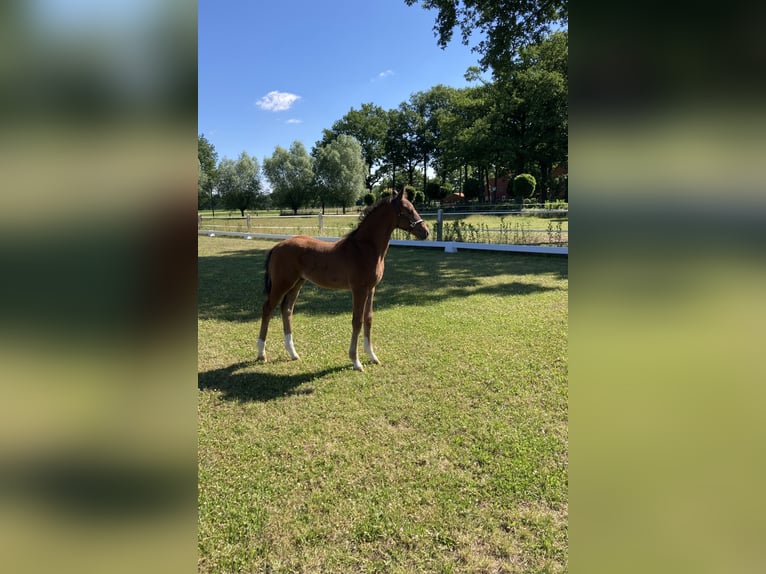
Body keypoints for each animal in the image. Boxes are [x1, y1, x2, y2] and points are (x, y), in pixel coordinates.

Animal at [256, 192, 426, 374]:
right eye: (408, 210)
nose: (425, 232)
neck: (364, 248)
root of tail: (277, 247)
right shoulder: (359, 290)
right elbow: (357, 321)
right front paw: (356, 361)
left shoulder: (371, 289)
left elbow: (368, 319)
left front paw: (372, 357)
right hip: (282, 284)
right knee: (267, 308)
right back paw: (261, 354)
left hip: (297, 283)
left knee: (286, 309)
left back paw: (293, 353)